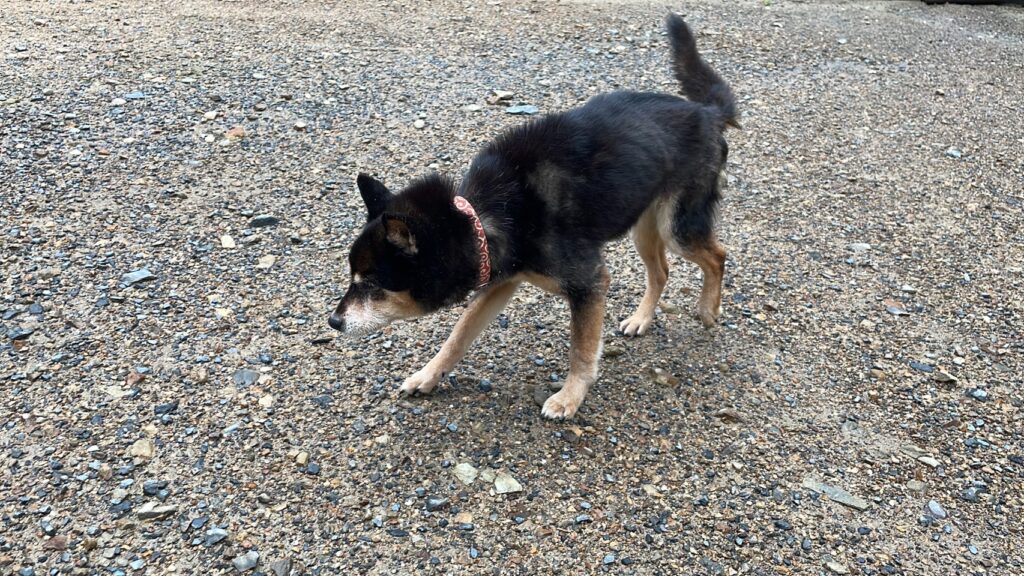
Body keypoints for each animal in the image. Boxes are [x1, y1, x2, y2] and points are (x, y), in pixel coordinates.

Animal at [328, 14, 737, 419]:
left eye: (372, 283)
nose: (333, 321)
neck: (489, 215)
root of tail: (706, 112)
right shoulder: (500, 282)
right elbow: (458, 336)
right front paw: (428, 375)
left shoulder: (589, 284)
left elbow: (581, 350)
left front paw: (570, 397)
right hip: (645, 226)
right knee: (662, 271)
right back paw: (641, 319)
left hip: (676, 226)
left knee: (717, 255)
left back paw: (708, 310)